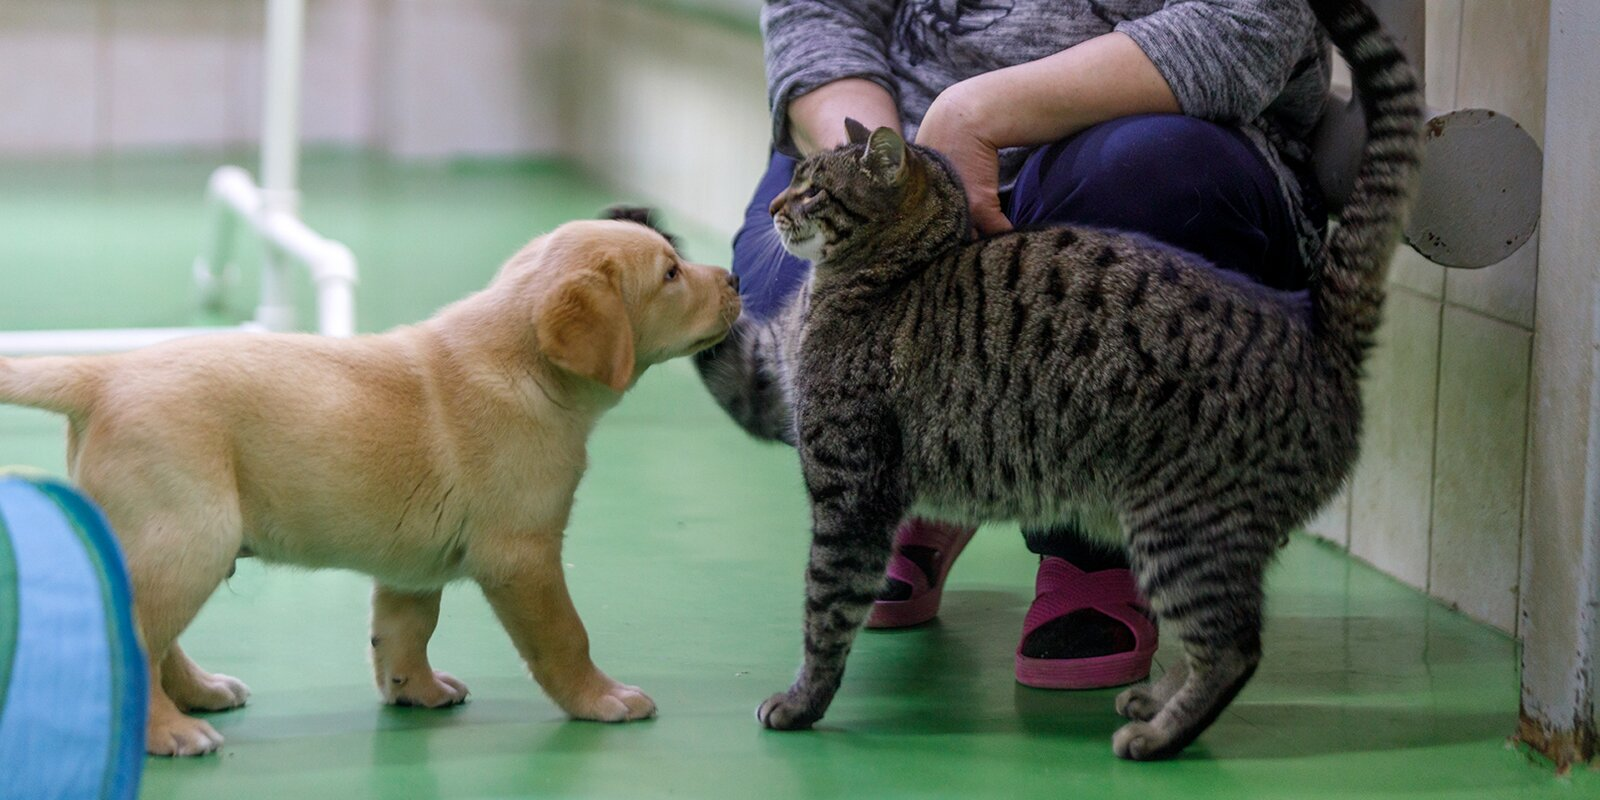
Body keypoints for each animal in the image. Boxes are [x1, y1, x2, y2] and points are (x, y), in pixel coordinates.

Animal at [0, 209, 739, 752]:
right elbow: (566, 635)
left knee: (158, 637)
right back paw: (169, 731)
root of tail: (103, 372)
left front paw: (417, 690)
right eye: (671, 272)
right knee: (137, 636)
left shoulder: (414, 566)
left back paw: (201, 691)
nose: (734, 278)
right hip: (191, 539)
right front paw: (602, 698)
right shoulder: (523, 555)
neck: (523, 360)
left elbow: (406, 631)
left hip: (176, 545)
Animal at [694, 0, 1420, 758]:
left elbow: (825, 609)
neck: (883, 274)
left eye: (813, 189)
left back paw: (1158, 734)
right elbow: (726, 352)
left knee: (1233, 648)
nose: (774, 205)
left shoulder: (851, 491)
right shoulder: (773, 379)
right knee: (1214, 639)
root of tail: (1316, 333)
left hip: (1184, 528)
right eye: (794, 179)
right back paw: (1153, 698)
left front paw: (802, 700)